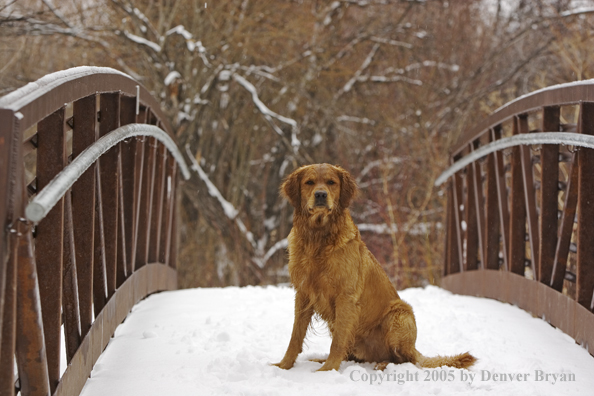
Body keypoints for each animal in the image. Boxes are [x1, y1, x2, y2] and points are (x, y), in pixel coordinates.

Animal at [274, 163, 476, 372]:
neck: (318, 238)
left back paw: (382, 365)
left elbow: (337, 342)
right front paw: (283, 366)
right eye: (309, 182)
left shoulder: (346, 297)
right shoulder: (303, 293)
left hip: (399, 313)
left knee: (402, 358)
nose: (320, 194)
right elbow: (295, 336)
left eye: (331, 182)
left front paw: (327, 371)